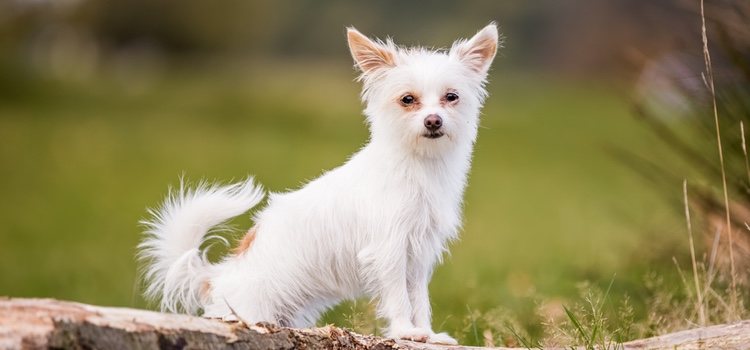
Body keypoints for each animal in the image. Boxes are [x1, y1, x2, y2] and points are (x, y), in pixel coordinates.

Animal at [140, 23, 500, 344]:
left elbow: (419, 299)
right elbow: (399, 298)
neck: (418, 165)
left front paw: (428, 333)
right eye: (407, 100)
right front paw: (406, 332)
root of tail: (215, 279)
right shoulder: (389, 250)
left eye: (451, 97)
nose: (433, 121)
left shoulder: (419, 255)